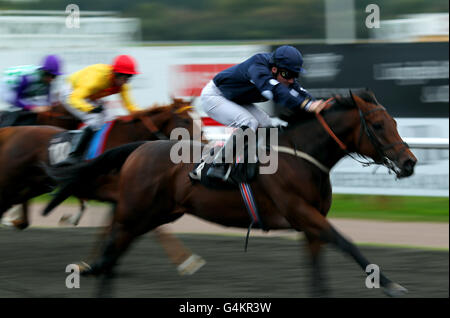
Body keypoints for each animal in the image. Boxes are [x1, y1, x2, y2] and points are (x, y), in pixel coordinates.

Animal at [46, 89, 418, 296]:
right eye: (378, 125)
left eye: (396, 123)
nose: (410, 162)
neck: (302, 154)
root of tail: (139, 147)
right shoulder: (302, 213)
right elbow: (348, 243)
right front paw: (392, 285)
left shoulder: (311, 225)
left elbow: (319, 274)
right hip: (133, 213)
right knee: (111, 254)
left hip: (156, 214)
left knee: (114, 256)